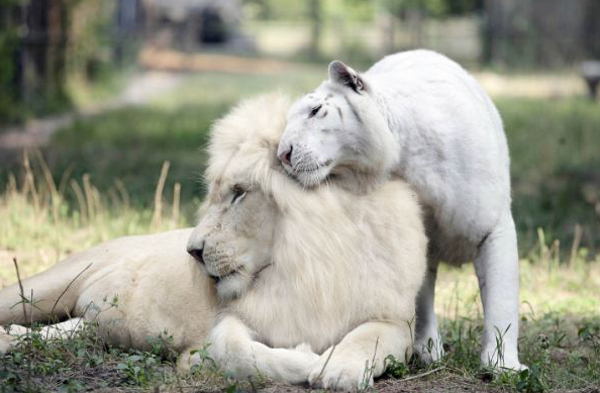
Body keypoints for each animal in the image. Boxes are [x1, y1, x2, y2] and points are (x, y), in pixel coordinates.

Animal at [2, 92, 428, 388]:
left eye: (239, 193)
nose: (192, 251)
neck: (308, 263)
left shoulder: (396, 320)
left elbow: (367, 339)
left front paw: (338, 367)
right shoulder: (235, 319)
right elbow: (236, 351)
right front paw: (308, 358)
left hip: (88, 321)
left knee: (60, 330)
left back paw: (11, 340)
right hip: (46, 285)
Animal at [276, 49, 524, 370]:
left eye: (316, 110)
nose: (282, 154)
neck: (406, 155)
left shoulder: (493, 227)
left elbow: (501, 299)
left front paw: (503, 364)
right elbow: (420, 296)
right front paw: (428, 349)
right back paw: (428, 350)